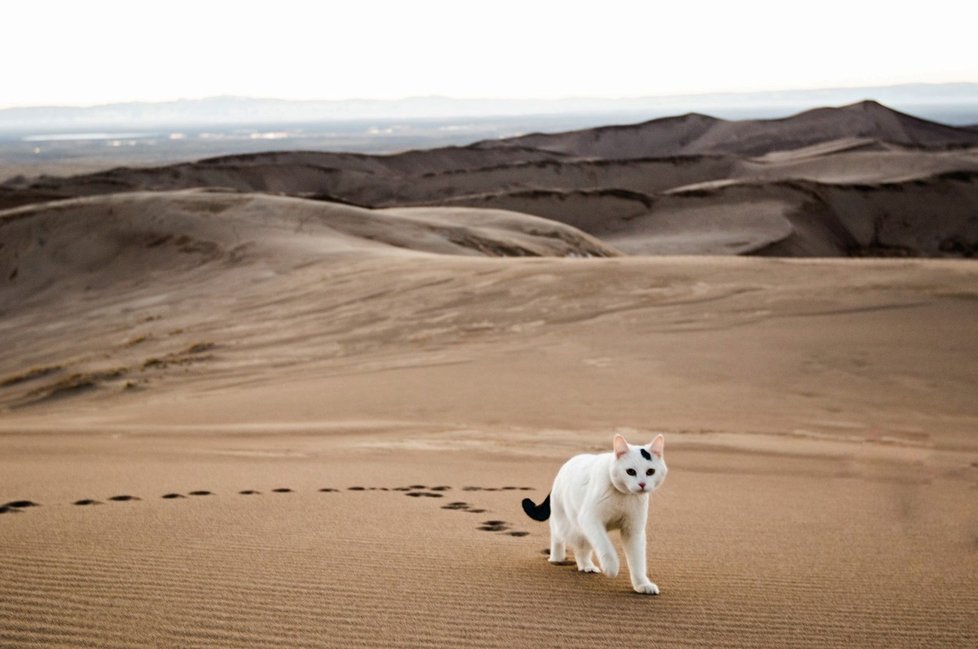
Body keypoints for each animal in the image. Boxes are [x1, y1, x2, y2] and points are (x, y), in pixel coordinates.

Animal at [524, 436, 668, 592]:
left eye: (650, 472)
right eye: (630, 471)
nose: (642, 484)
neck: (623, 496)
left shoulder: (633, 530)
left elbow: (638, 561)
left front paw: (642, 584)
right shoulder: (590, 520)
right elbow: (605, 546)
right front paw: (611, 567)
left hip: (581, 530)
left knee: (581, 548)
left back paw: (587, 566)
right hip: (568, 523)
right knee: (557, 535)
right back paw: (556, 558)